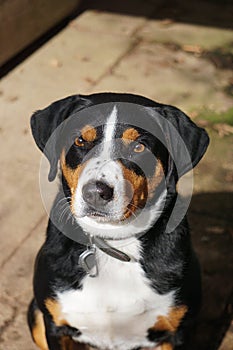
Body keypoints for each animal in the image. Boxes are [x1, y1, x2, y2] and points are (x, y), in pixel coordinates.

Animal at [27, 93, 209, 350]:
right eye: (80, 140)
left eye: (139, 146)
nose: (95, 192)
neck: (114, 244)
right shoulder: (55, 326)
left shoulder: (178, 331)